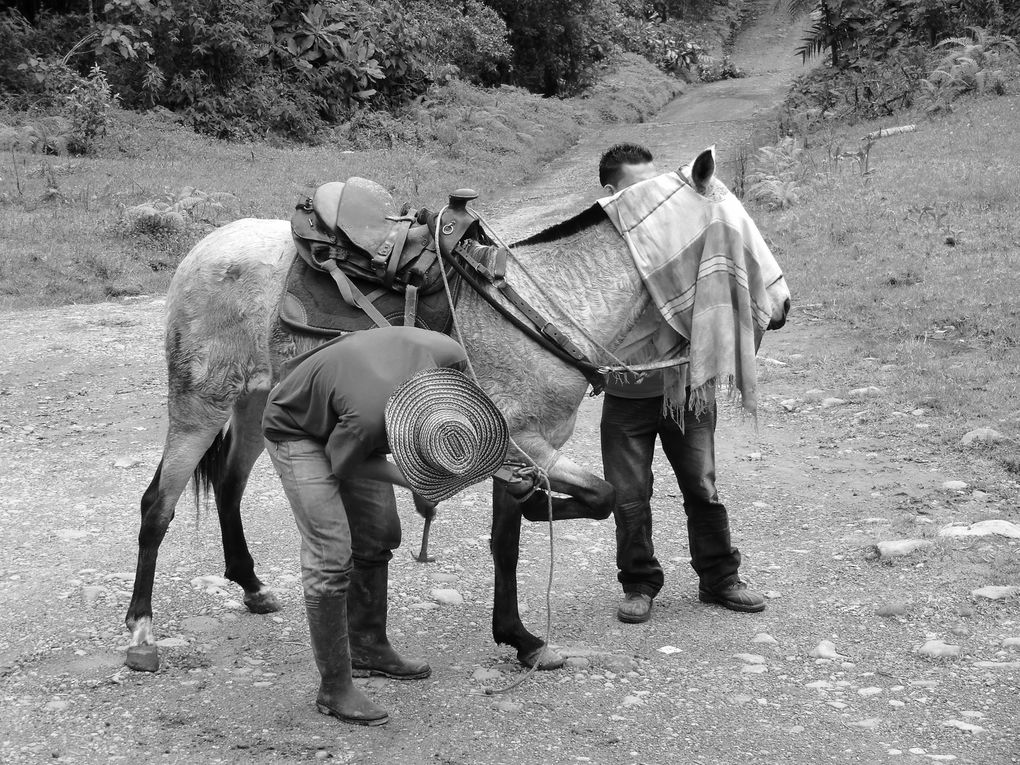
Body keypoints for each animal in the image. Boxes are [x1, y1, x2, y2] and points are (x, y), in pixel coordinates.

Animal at [127, 147, 791, 669]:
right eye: (739, 230)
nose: (782, 305)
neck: (540, 309)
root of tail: (202, 250)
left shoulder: (518, 451)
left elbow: (526, 534)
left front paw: (522, 636)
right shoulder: (526, 444)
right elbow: (588, 502)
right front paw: (530, 584)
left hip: (254, 401)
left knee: (229, 486)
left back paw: (251, 586)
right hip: (199, 404)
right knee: (158, 504)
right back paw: (141, 633)